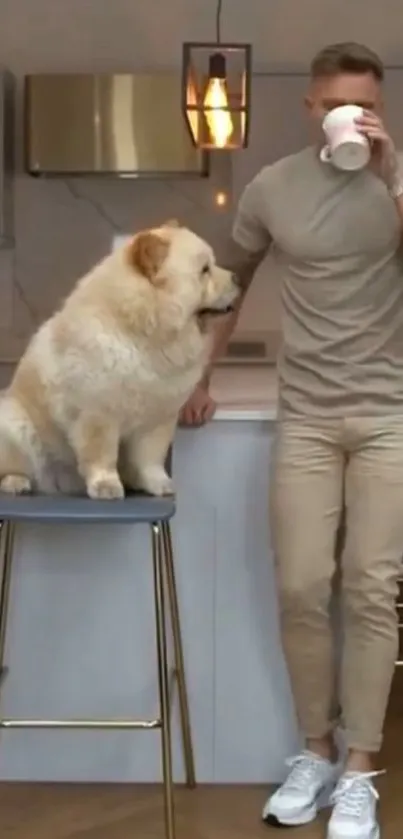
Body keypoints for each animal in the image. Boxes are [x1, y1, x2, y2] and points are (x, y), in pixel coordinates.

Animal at [0, 221, 238, 498]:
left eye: (212, 265)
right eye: (204, 270)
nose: (236, 277)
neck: (146, 336)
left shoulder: (158, 417)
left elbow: (150, 458)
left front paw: (159, 484)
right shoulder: (98, 413)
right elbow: (102, 455)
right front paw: (107, 486)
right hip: (15, 425)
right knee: (15, 465)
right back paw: (16, 482)